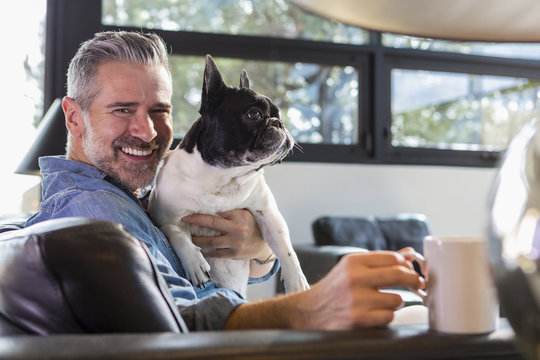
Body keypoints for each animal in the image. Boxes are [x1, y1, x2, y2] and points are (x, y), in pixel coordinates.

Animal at [148, 55, 310, 298]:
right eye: (254, 114)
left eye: (278, 115)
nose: (279, 123)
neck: (224, 177)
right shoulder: (165, 217)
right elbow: (174, 233)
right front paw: (194, 262)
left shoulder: (267, 212)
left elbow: (286, 248)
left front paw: (297, 282)